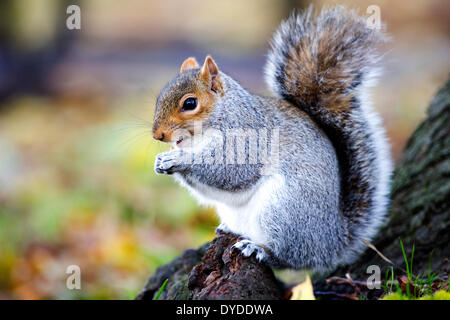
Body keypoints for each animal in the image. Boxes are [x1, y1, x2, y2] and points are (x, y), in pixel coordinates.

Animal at [150, 6, 390, 272]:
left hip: (283, 211)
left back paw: (259, 249)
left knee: (289, 259)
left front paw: (178, 160)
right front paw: (161, 161)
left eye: (190, 103)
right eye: (160, 97)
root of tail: (331, 242)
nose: (157, 134)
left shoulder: (247, 140)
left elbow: (228, 171)